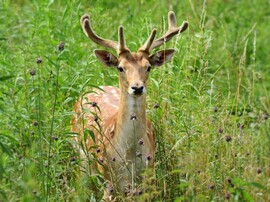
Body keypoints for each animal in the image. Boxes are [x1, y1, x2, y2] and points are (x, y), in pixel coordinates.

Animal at [71, 10, 189, 200]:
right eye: (120, 67)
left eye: (148, 67)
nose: (137, 87)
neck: (129, 157)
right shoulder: (109, 181)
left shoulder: (148, 177)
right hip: (81, 154)